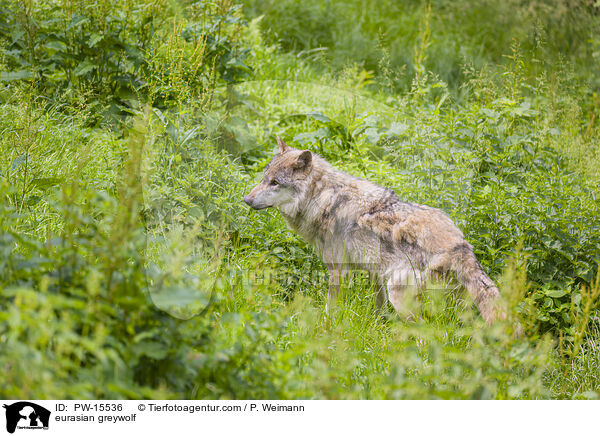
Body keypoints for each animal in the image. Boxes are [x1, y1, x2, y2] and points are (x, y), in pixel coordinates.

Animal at [244, 136, 502, 324]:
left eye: (275, 183)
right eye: (264, 178)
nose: (246, 200)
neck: (323, 198)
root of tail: (459, 244)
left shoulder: (338, 270)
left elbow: (330, 307)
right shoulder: (375, 272)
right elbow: (378, 306)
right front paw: (377, 326)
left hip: (400, 295)